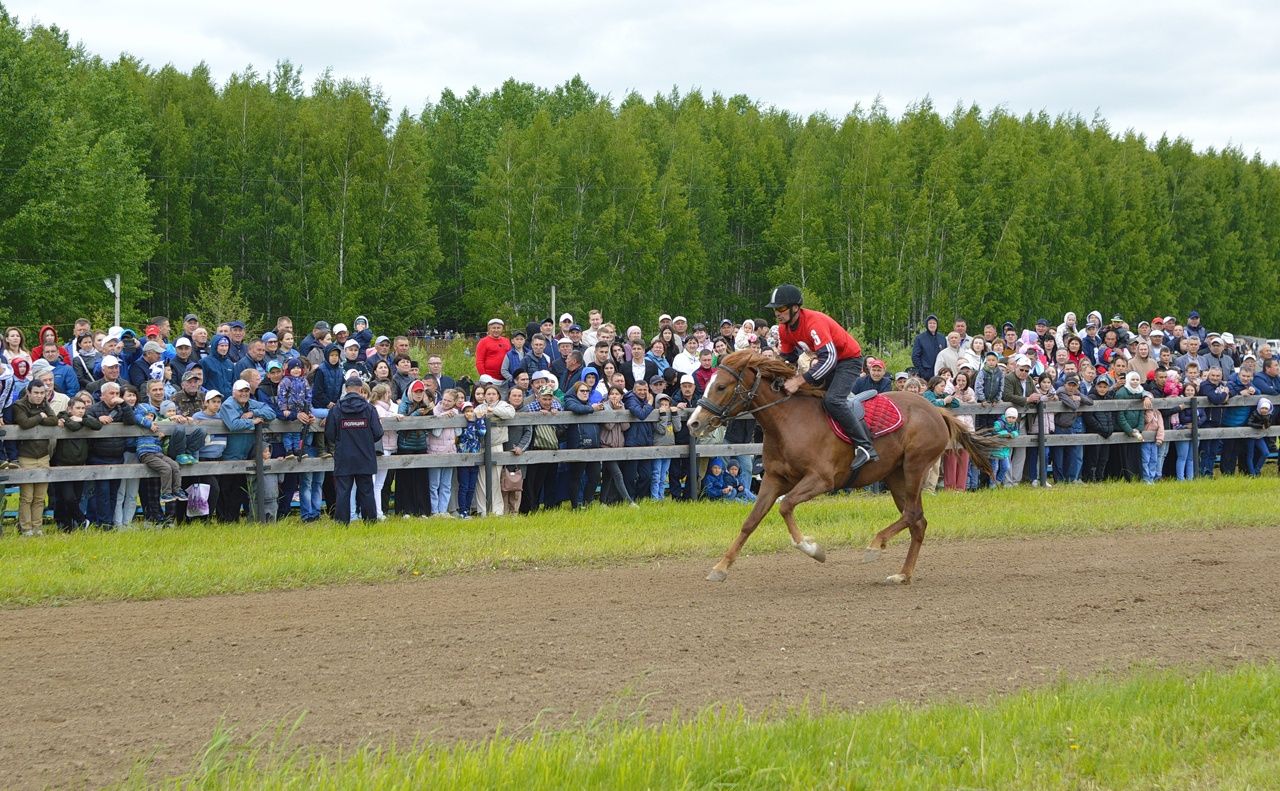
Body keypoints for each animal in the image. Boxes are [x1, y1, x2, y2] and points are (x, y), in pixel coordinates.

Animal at [686, 348, 1003, 581]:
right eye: (710, 383)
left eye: (722, 386)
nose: (694, 423)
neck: (788, 422)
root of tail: (937, 411)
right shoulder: (774, 479)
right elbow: (751, 521)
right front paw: (720, 568)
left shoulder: (821, 480)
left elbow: (786, 506)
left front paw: (812, 548)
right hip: (896, 476)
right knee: (918, 521)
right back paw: (902, 574)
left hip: (914, 467)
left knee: (913, 515)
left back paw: (875, 546)